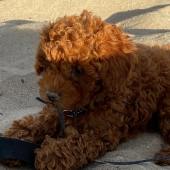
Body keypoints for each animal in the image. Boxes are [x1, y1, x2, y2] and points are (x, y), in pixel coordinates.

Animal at [4, 10, 170, 169]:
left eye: (78, 70)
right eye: (48, 63)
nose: (51, 95)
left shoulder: (101, 133)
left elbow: (79, 143)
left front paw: (51, 154)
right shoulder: (58, 110)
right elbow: (41, 121)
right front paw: (18, 136)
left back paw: (164, 155)